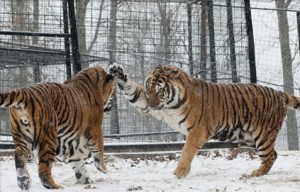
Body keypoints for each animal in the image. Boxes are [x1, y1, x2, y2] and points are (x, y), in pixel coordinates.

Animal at [109, 63, 300, 178]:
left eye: (160, 91)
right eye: (149, 89)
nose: (153, 104)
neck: (169, 105)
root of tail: (279, 93)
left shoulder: (197, 130)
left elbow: (186, 152)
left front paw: (179, 173)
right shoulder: (150, 105)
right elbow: (133, 91)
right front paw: (118, 71)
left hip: (263, 135)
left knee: (269, 157)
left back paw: (254, 174)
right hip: (249, 137)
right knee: (274, 155)